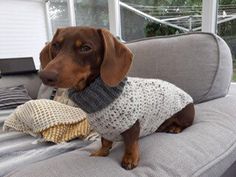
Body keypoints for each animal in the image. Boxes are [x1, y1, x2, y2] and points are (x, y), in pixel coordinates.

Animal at [39, 26, 195, 170]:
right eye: (55, 45)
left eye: (85, 48)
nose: (45, 76)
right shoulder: (104, 129)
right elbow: (105, 141)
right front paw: (101, 152)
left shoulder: (132, 125)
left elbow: (131, 144)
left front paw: (130, 159)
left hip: (184, 115)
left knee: (186, 124)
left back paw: (175, 128)